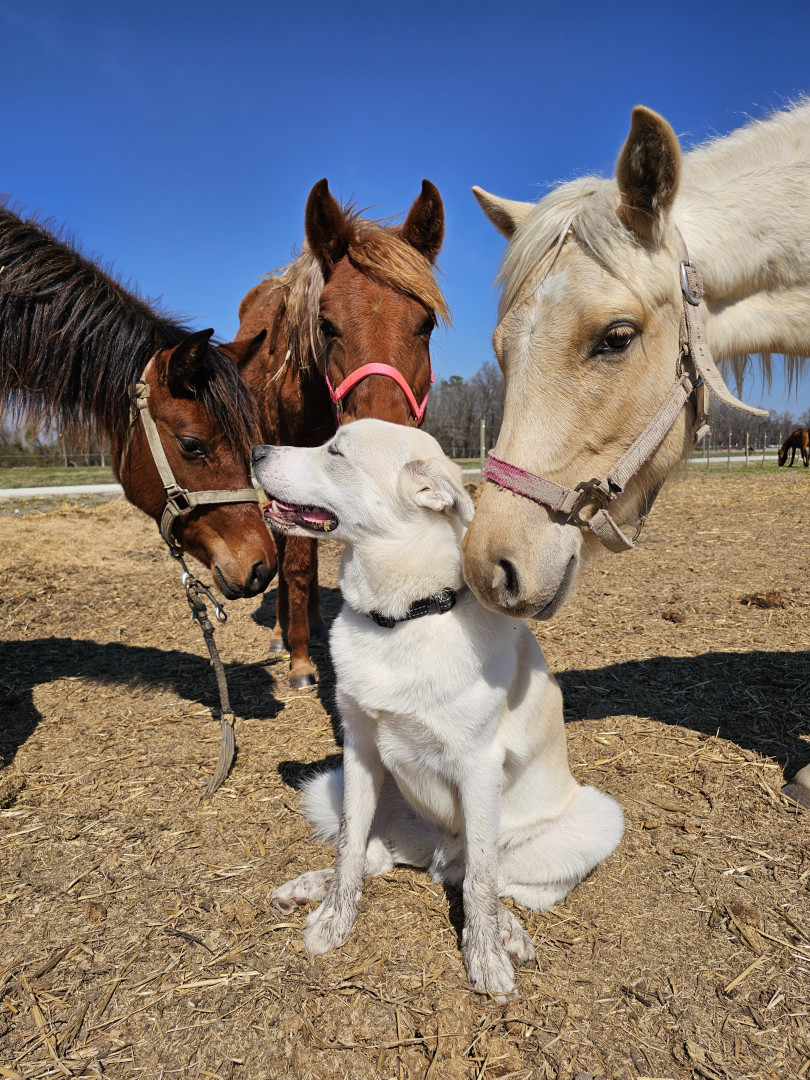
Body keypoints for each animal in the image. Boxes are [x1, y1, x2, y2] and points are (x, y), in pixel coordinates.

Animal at [252, 419, 624, 999]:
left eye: (335, 452)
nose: (255, 450)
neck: (402, 617)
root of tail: (435, 853)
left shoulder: (478, 765)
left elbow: (482, 882)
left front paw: (485, 956)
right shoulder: (358, 749)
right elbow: (349, 848)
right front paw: (335, 917)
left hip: (598, 818)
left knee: (495, 878)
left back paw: (507, 931)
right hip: (330, 785)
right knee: (377, 855)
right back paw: (309, 887)